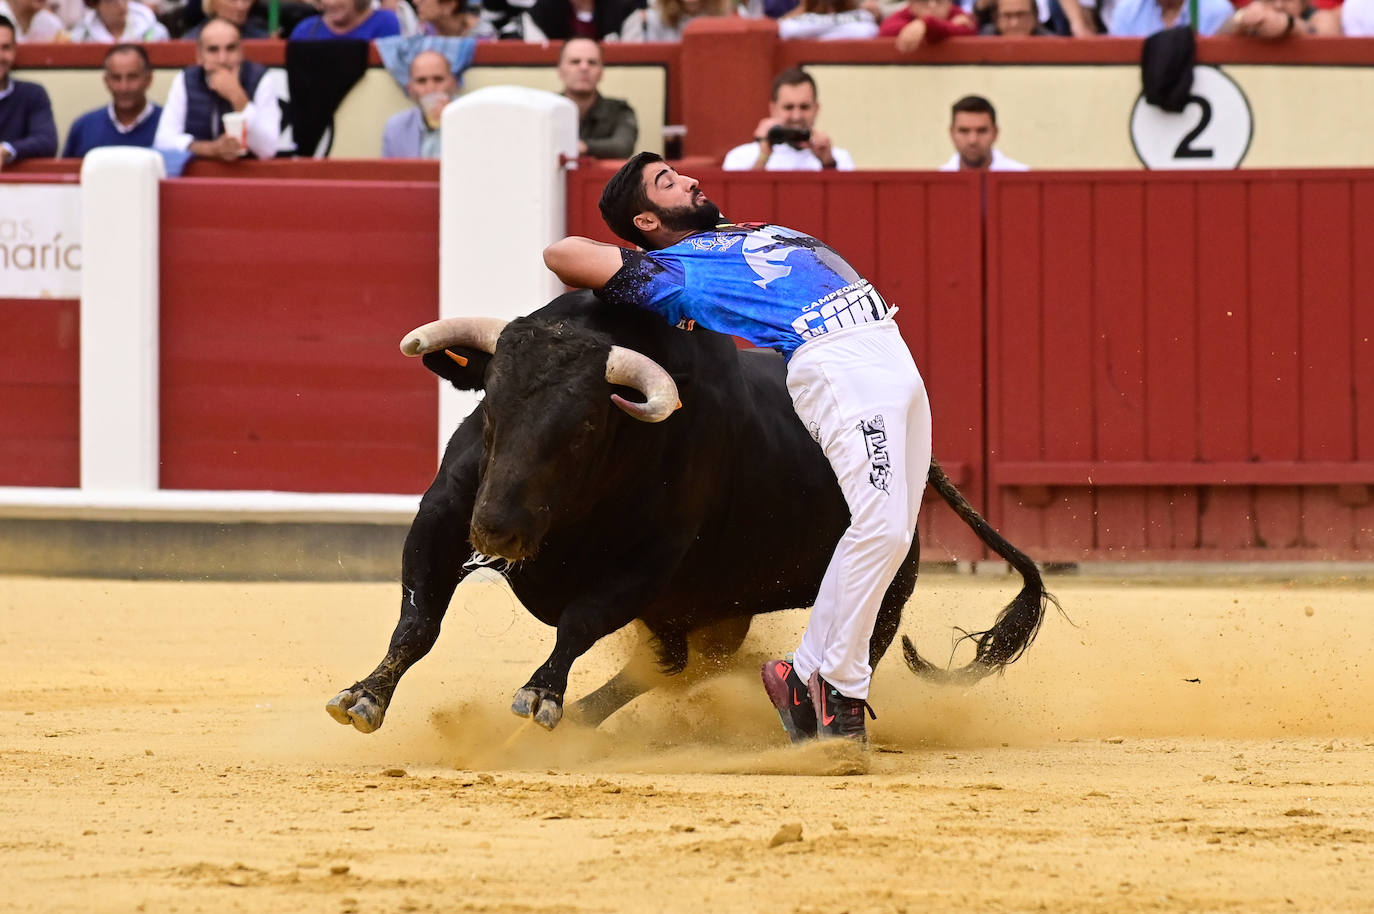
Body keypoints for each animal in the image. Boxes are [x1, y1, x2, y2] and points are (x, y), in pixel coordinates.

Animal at [324, 292, 1049, 736]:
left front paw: (541, 695)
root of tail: (922, 462)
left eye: (586, 427)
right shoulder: (445, 515)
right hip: (712, 611)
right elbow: (418, 619)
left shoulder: (648, 564)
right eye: (490, 407)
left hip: (881, 592)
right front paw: (363, 696)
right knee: (675, 664)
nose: (497, 530)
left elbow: (579, 621)